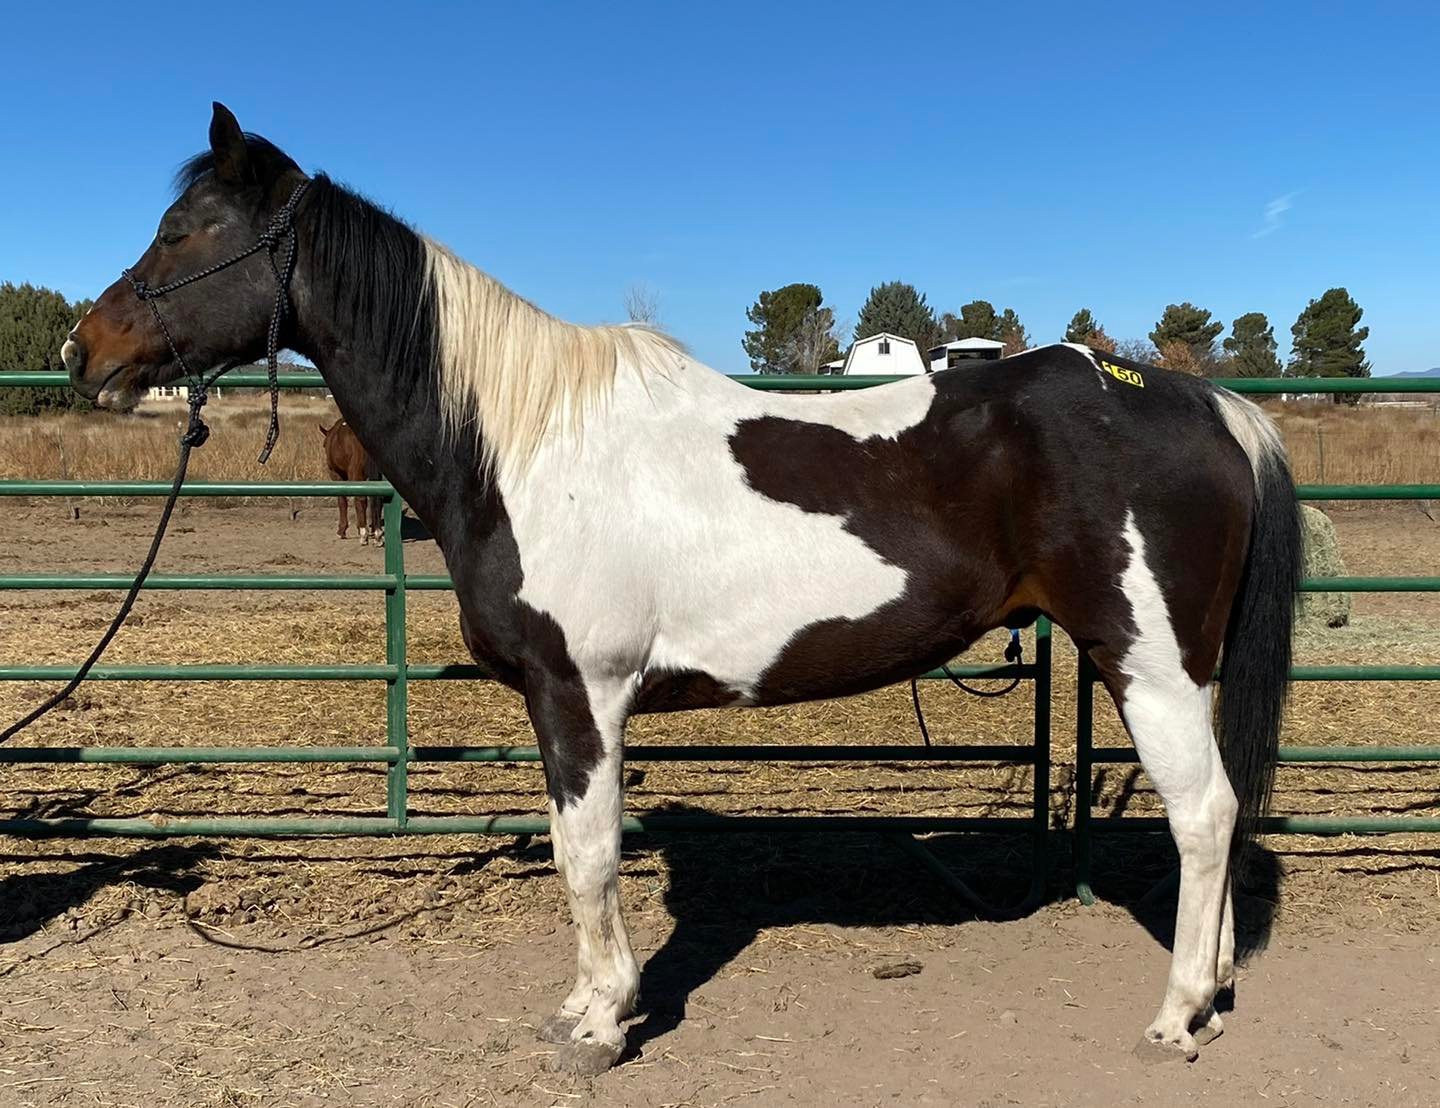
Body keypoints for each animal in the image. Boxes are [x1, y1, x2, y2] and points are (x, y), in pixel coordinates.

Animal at [63, 103, 1302, 1076]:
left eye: (187, 230)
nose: (86, 350)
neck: (525, 442)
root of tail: (1203, 403)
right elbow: (579, 854)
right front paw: (582, 1004)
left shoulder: (582, 693)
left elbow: (587, 855)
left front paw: (601, 1024)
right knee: (1221, 811)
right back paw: (1213, 991)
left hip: (1150, 662)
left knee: (1204, 813)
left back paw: (1175, 1017)